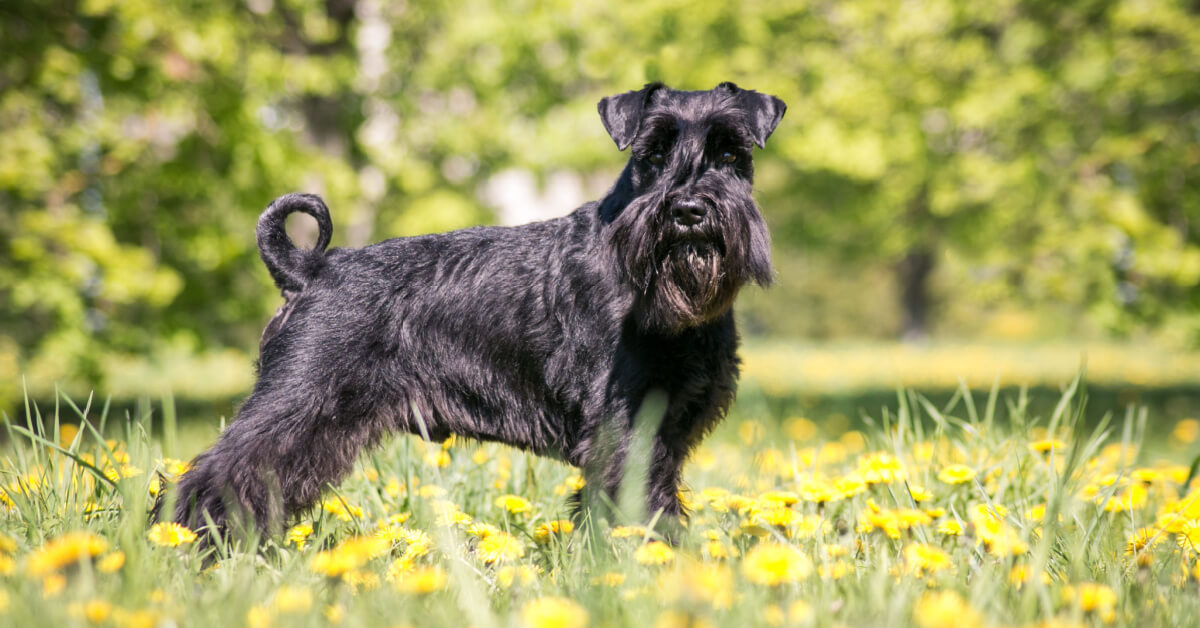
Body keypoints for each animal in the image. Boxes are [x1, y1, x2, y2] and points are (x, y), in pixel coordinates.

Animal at [169, 79, 787, 540]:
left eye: (730, 153)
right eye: (653, 154)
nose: (688, 210)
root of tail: (309, 268)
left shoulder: (668, 430)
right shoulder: (625, 427)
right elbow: (637, 508)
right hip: (299, 401)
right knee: (220, 472)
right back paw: (192, 545)